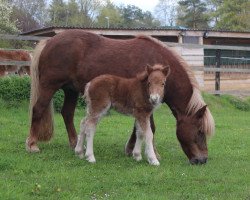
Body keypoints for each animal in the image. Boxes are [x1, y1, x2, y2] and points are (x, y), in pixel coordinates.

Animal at [25, 29, 215, 164]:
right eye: (199, 131)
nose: (202, 160)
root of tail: (50, 41)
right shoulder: (144, 105)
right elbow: (150, 129)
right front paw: (153, 154)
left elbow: (138, 129)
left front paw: (131, 150)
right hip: (49, 86)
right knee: (38, 109)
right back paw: (32, 145)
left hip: (70, 90)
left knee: (68, 114)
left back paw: (75, 144)